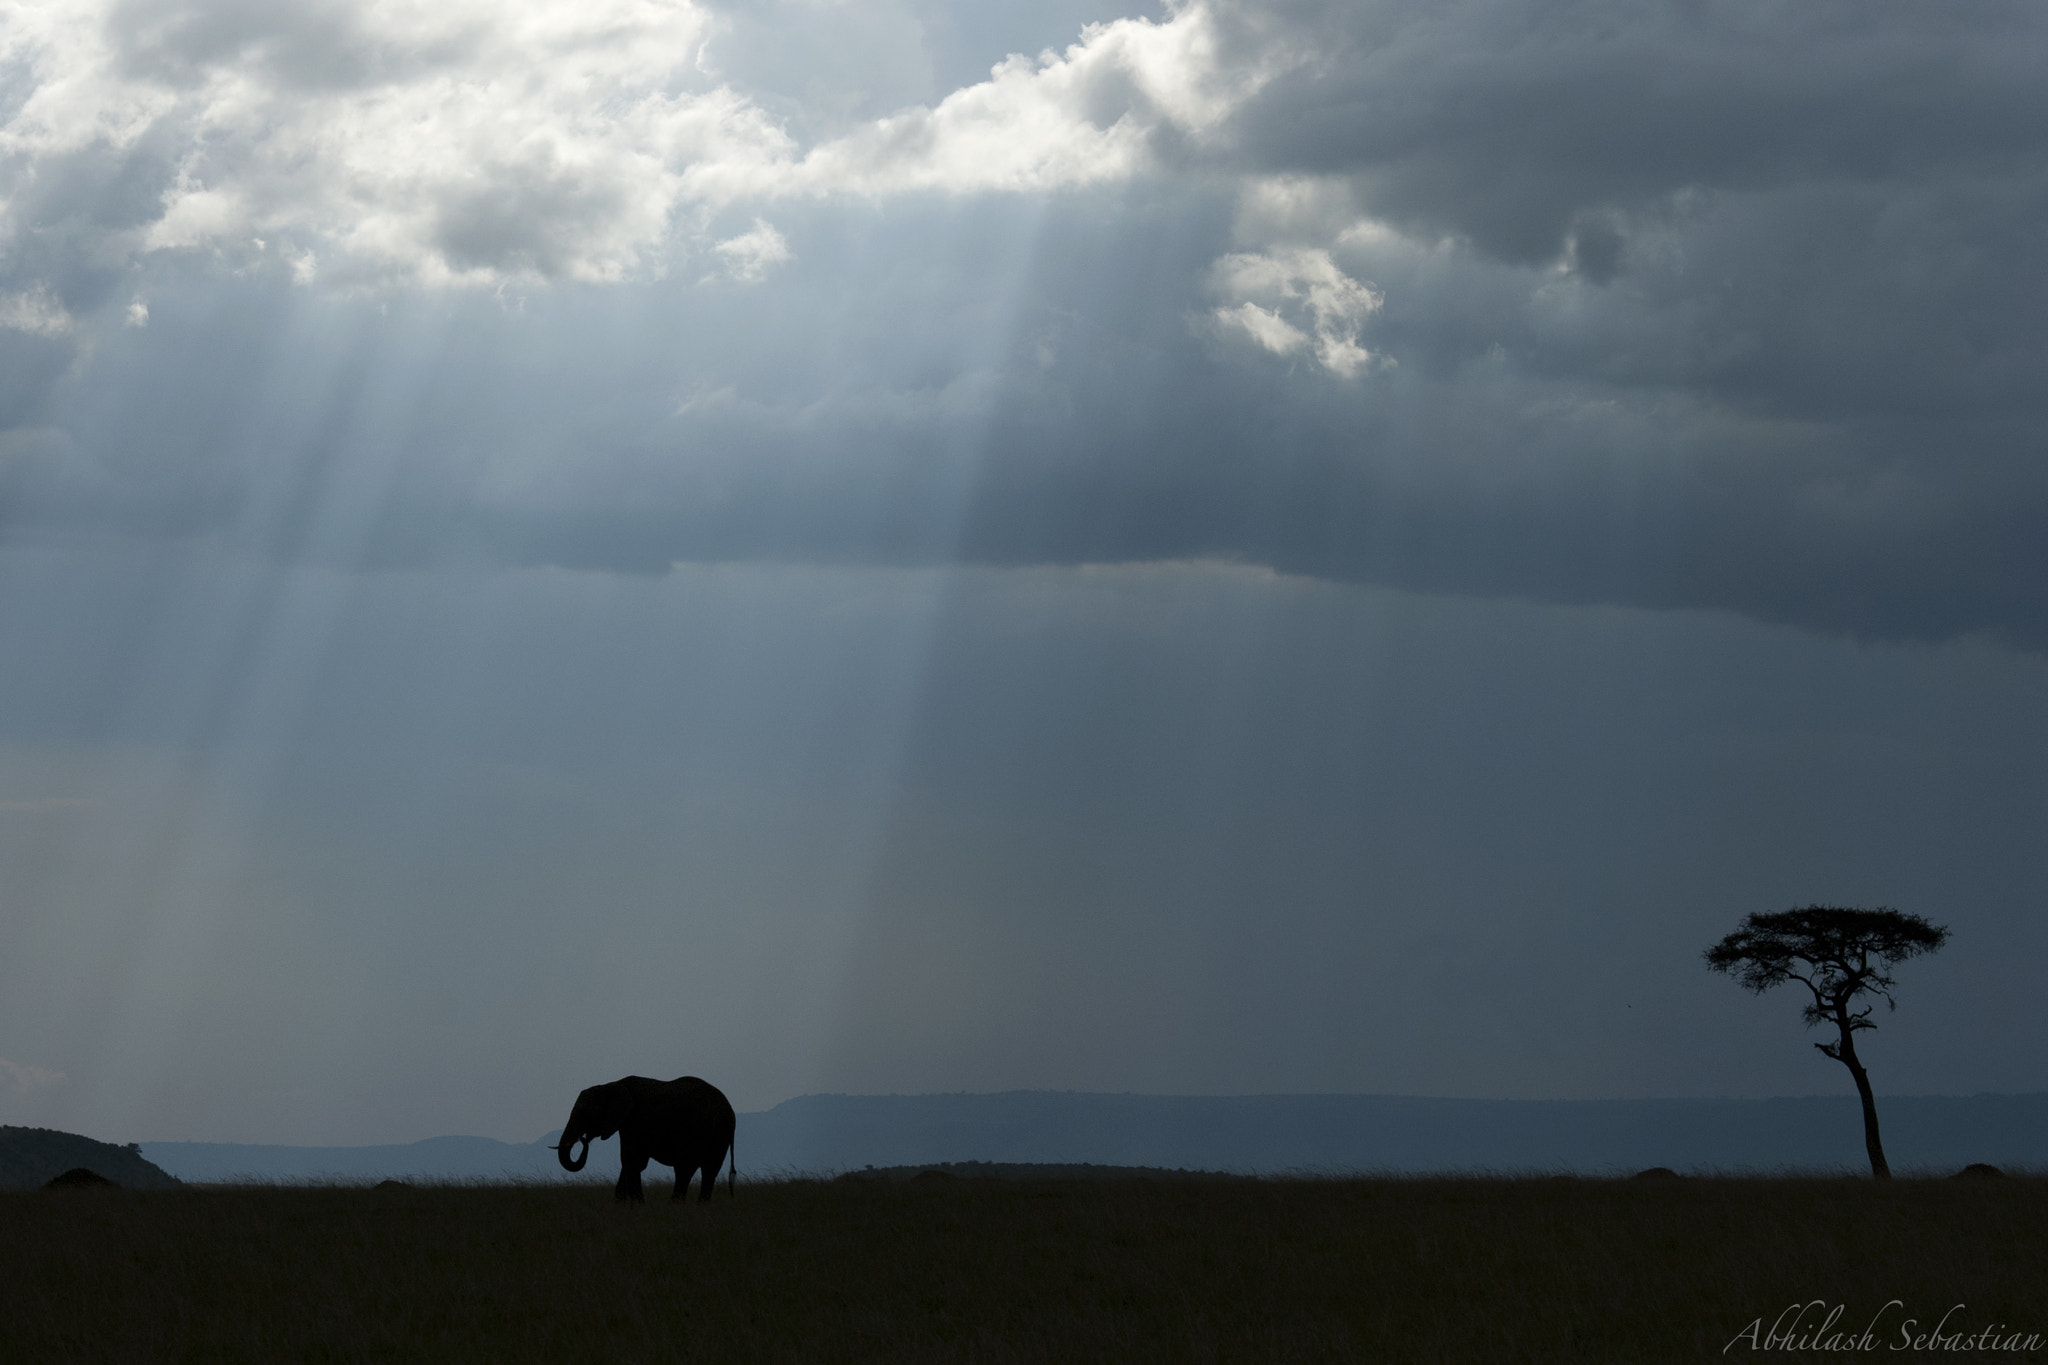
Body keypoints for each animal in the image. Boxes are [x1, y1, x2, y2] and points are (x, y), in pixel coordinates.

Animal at [556, 1075, 737, 1202]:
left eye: (586, 1113)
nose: (583, 1139)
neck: (612, 1085)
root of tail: (730, 1113)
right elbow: (630, 1163)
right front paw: (622, 1203)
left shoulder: (635, 1121)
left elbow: (632, 1161)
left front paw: (637, 1205)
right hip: (720, 1134)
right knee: (709, 1171)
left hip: (700, 1131)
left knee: (685, 1169)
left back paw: (675, 1205)